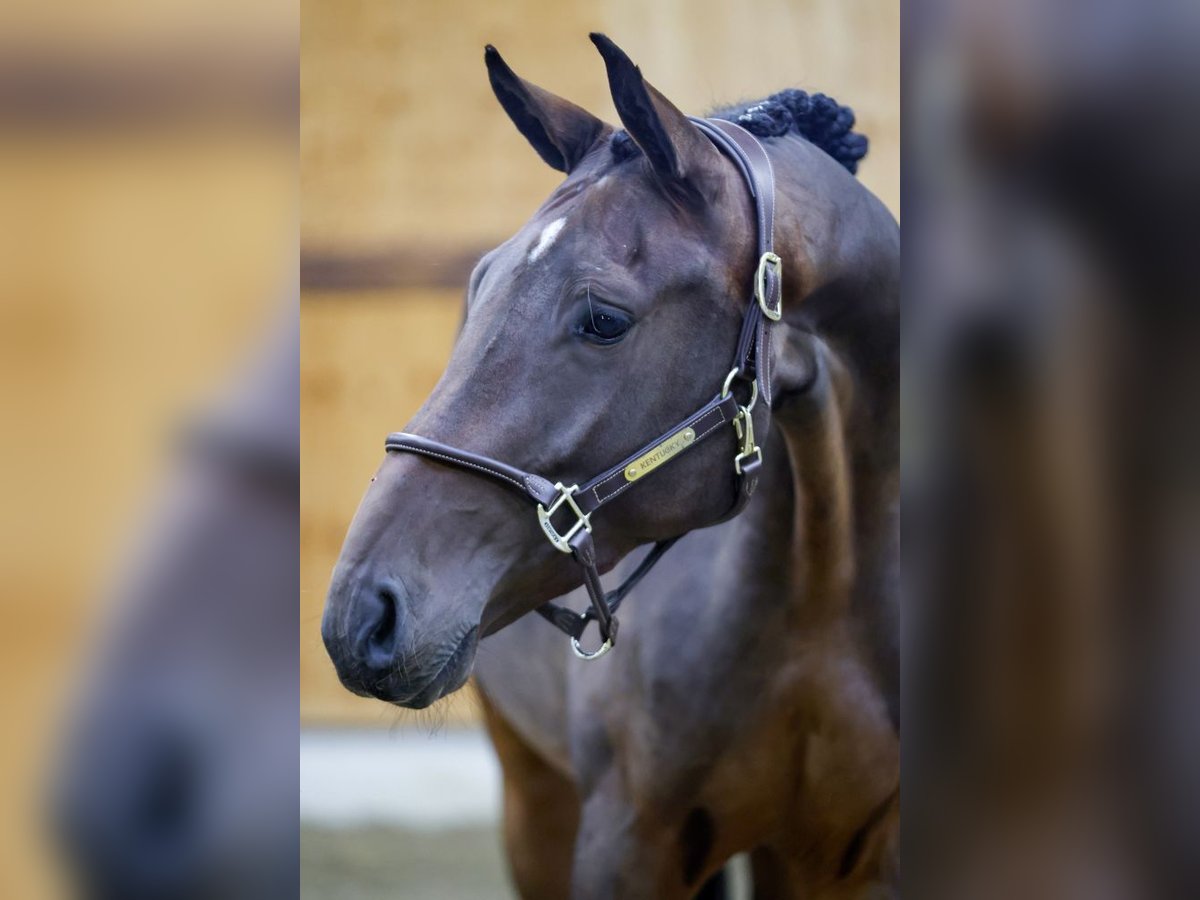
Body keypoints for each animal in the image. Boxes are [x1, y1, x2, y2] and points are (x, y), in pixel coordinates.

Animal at [324, 31, 897, 897]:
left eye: (604, 320)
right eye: (479, 284)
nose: (362, 614)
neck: (827, 610)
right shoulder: (621, 843)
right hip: (533, 799)